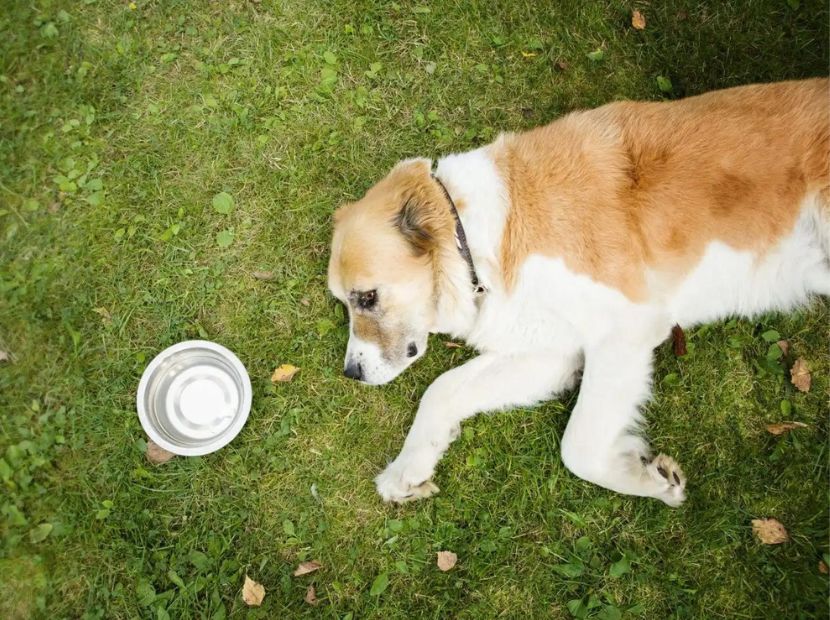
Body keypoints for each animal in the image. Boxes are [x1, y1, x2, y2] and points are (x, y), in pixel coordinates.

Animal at [328, 77, 830, 506]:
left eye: (366, 297)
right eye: (346, 302)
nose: (351, 373)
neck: (474, 239)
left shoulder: (626, 330)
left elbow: (578, 448)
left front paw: (645, 480)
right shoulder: (555, 351)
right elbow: (443, 389)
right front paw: (408, 469)